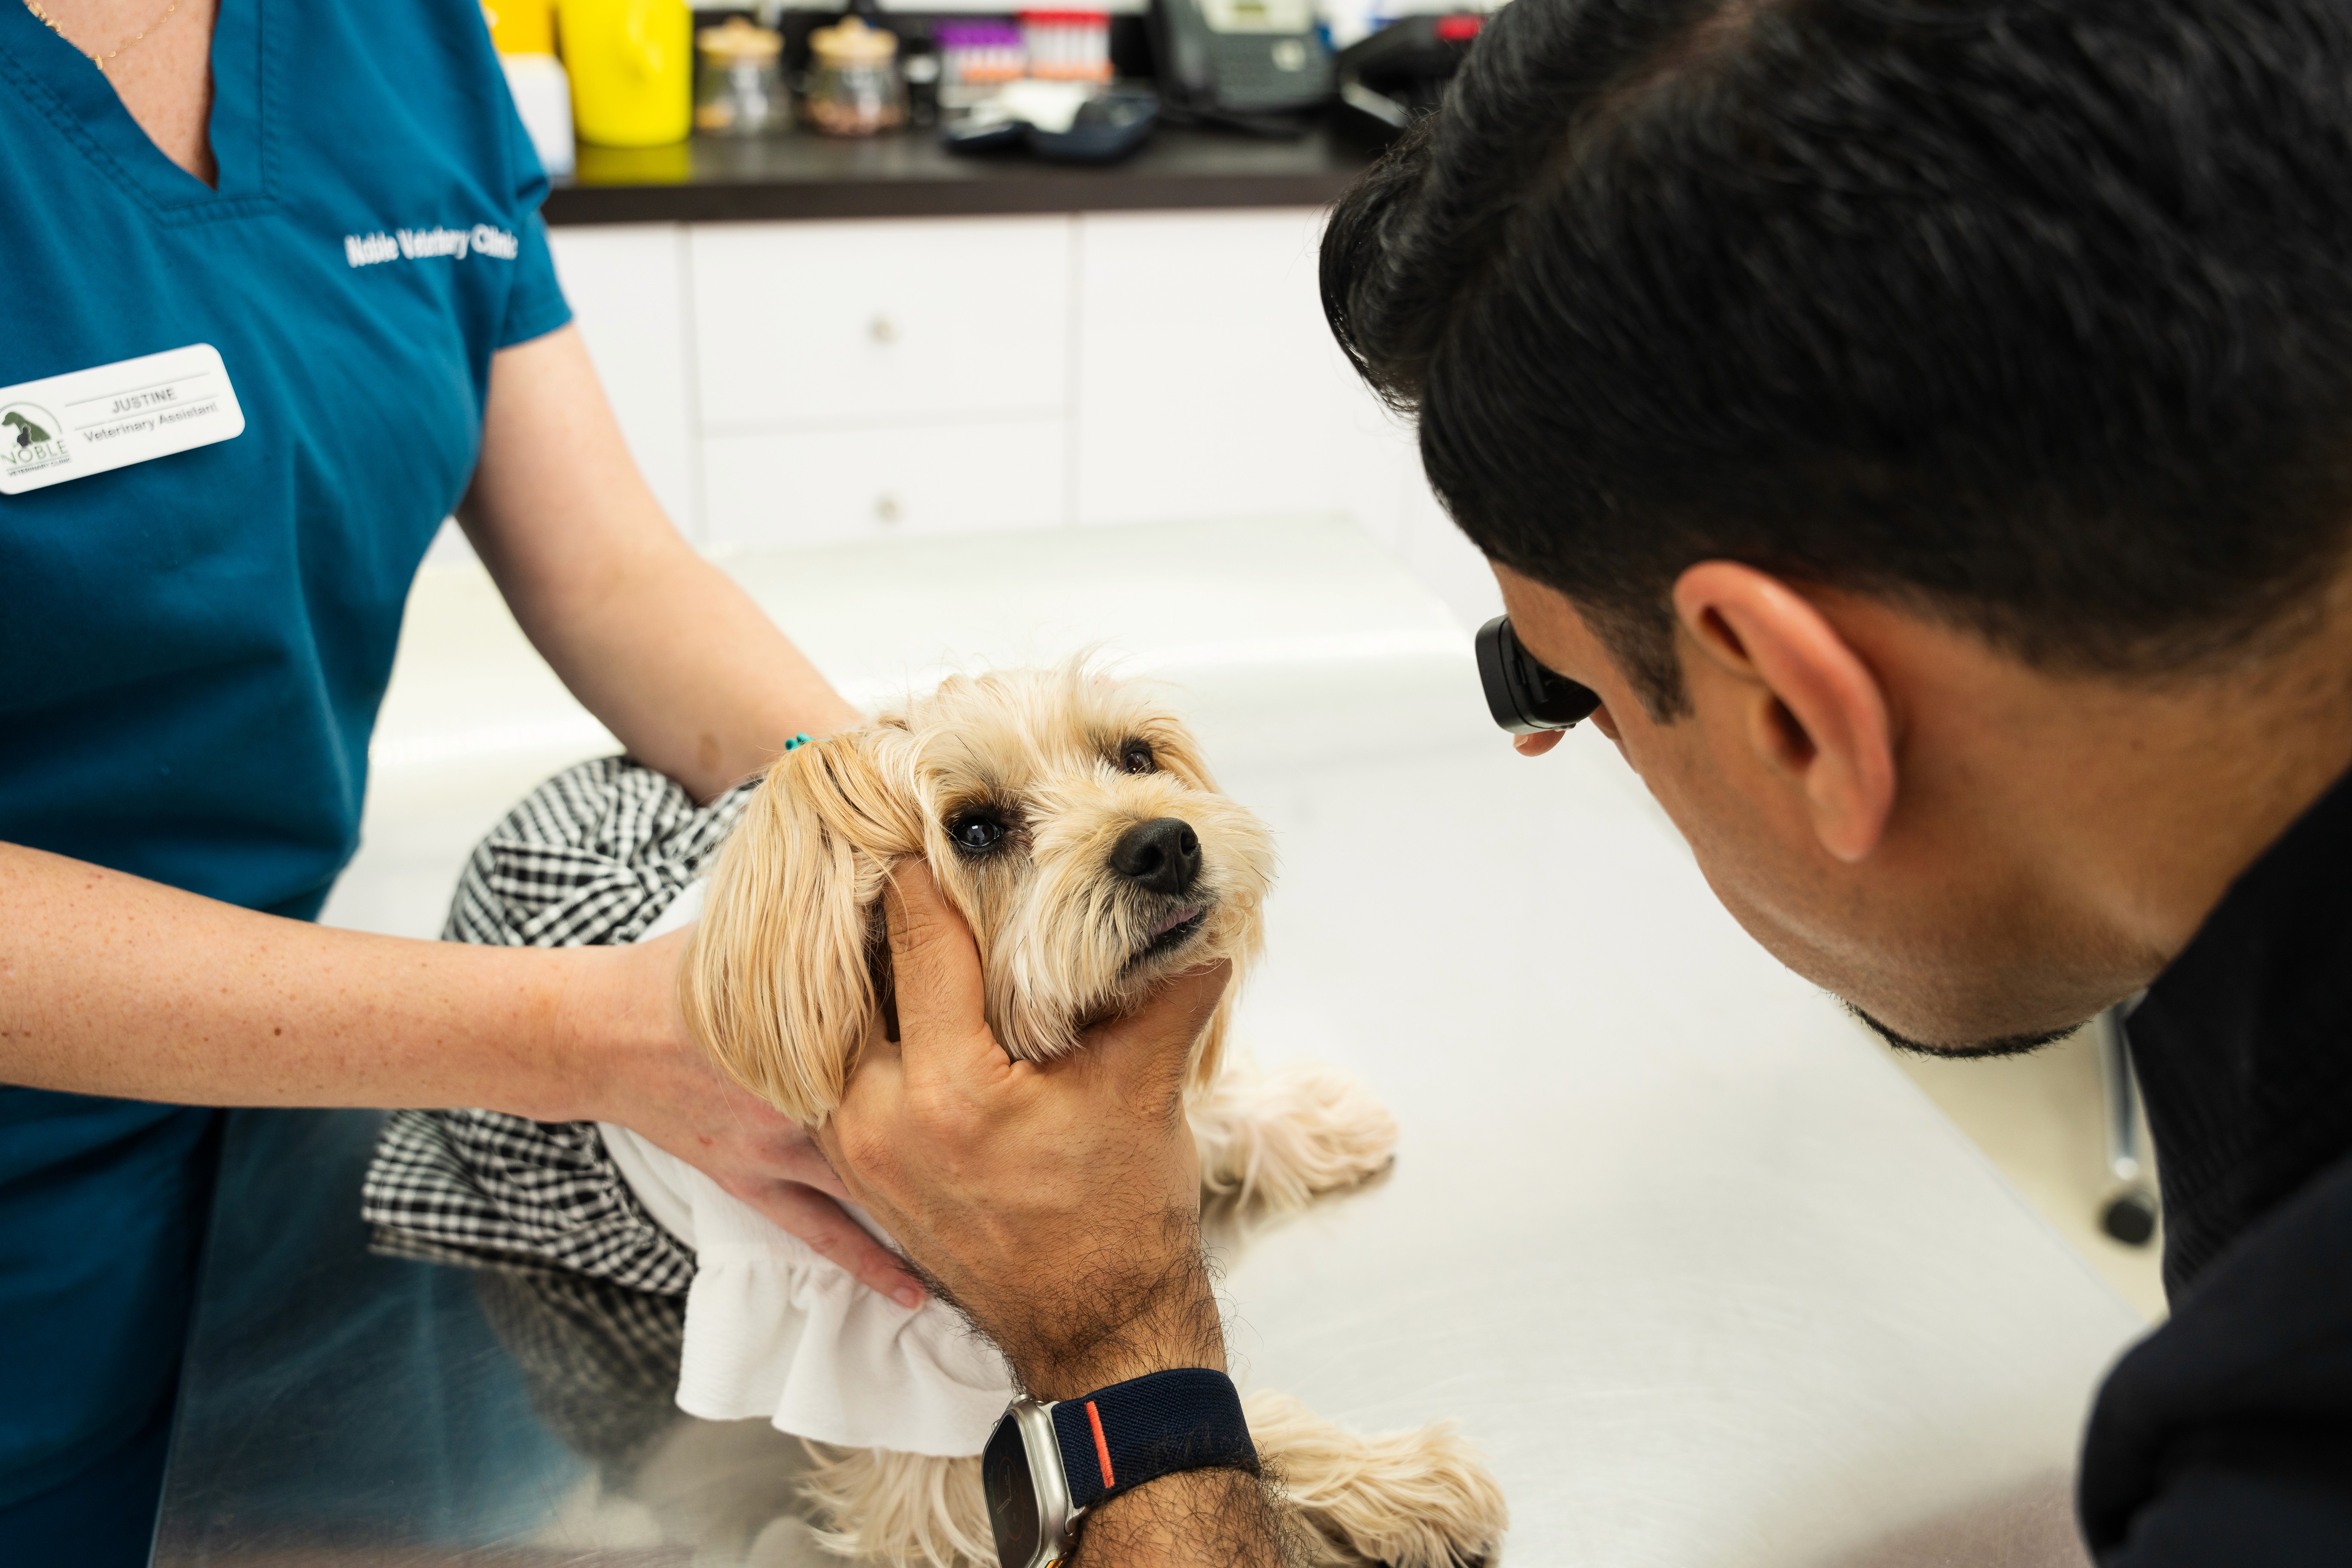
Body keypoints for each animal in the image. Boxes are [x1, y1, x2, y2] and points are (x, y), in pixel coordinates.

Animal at [672, 667, 1505, 1568]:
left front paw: (1311, 1120)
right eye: (973, 829)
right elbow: (1247, 1422)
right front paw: (1407, 1476)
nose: (1164, 843)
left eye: (1135, 757)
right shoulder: (912, 1445)